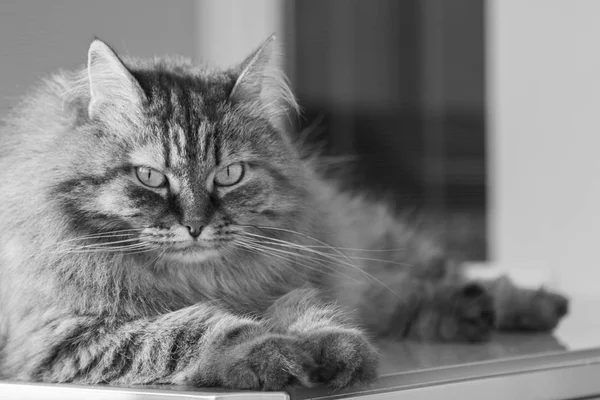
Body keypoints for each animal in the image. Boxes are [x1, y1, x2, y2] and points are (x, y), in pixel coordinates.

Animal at [0, 36, 568, 392]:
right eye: (151, 178)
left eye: (229, 174)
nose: (195, 225)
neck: (199, 279)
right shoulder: (61, 335)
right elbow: (198, 330)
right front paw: (274, 354)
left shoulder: (300, 280)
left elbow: (312, 312)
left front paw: (333, 350)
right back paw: (474, 313)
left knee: (438, 281)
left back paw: (522, 305)